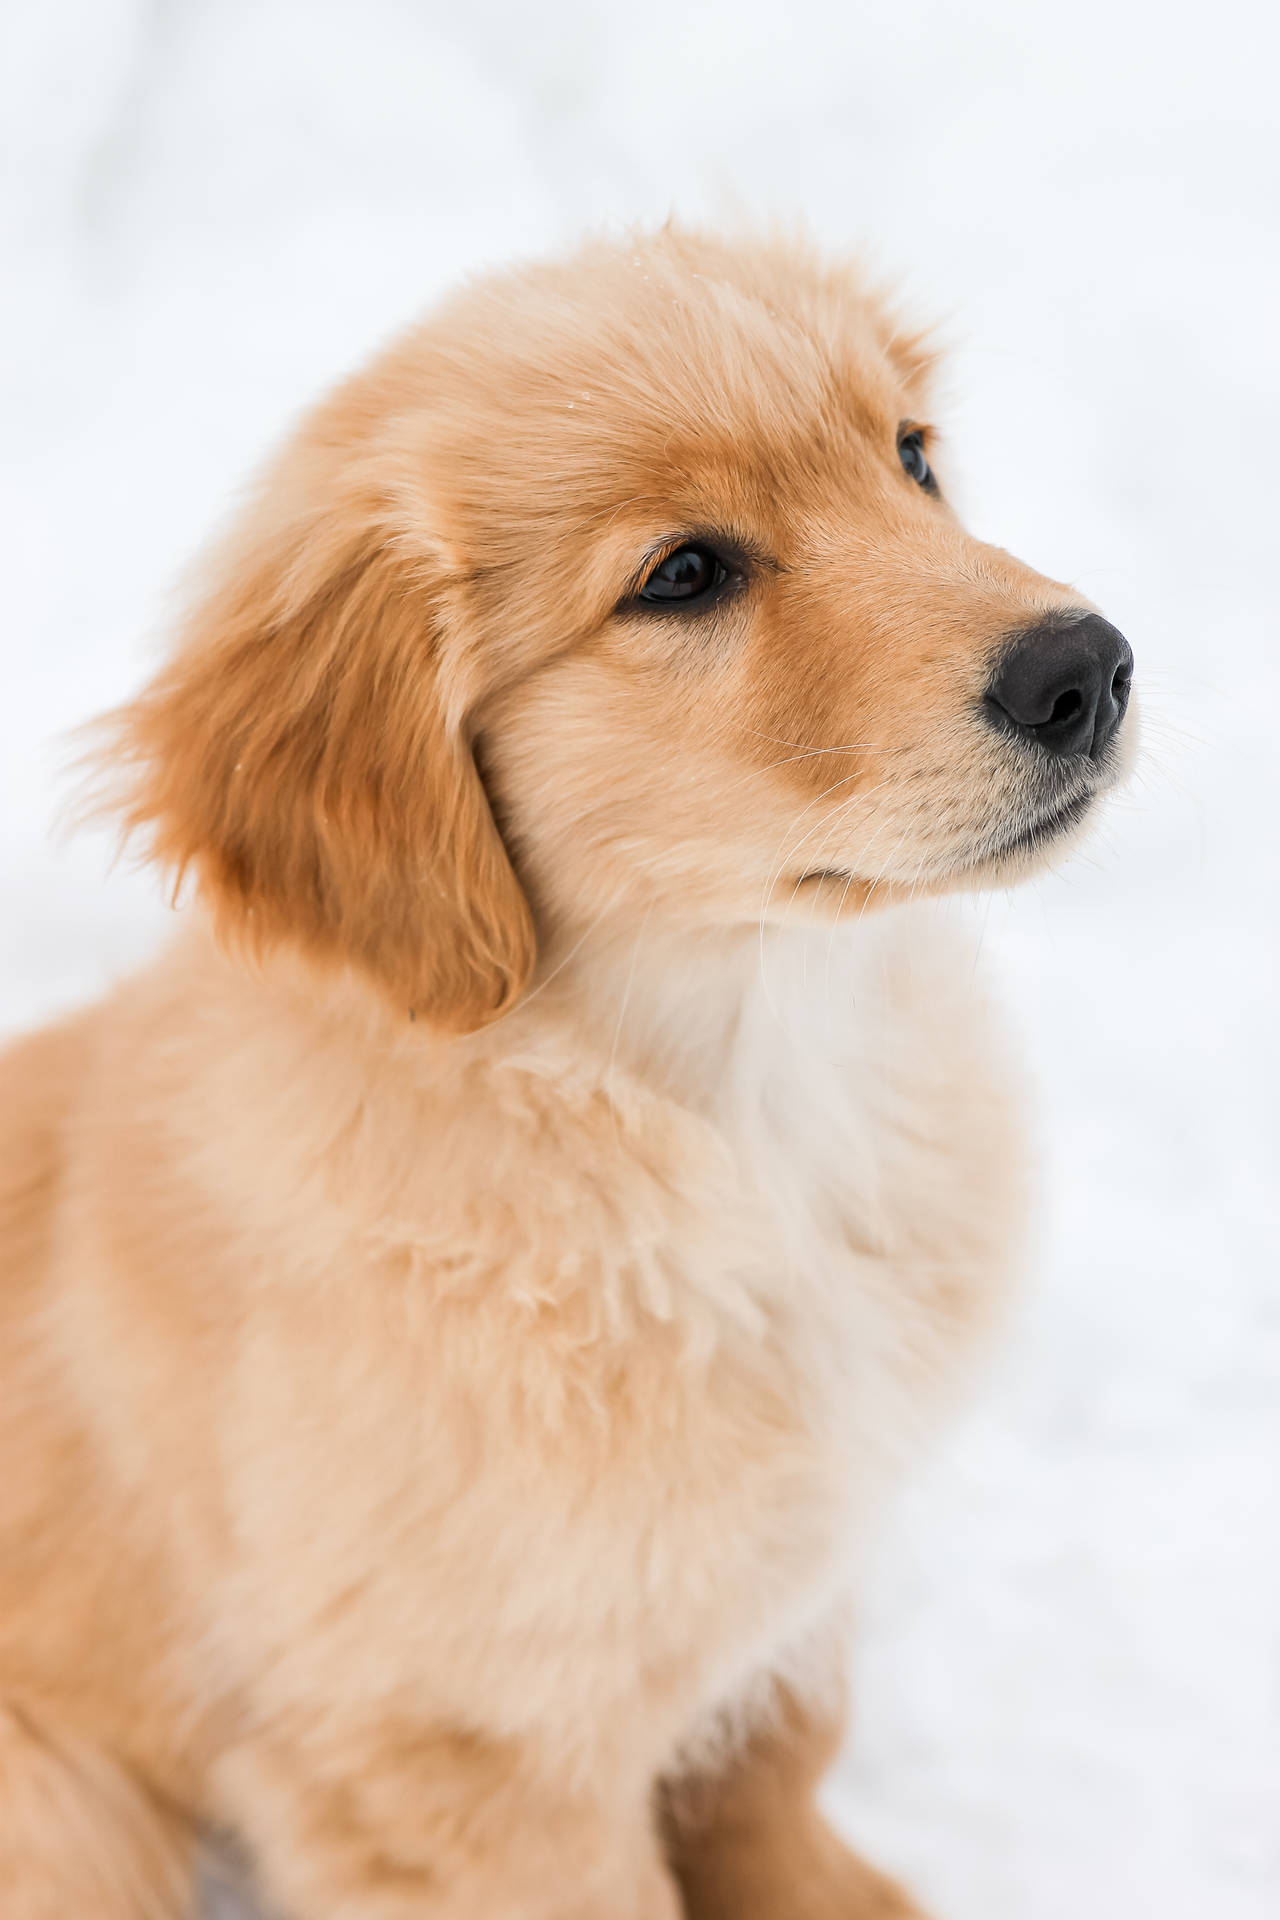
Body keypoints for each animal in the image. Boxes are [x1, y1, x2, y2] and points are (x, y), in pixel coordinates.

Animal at [5, 220, 1136, 1904]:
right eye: (683, 576)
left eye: (912, 458)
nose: (1091, 668)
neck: (734, 1096)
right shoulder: (455, 1750)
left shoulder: (780, 1594)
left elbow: (773, 1767)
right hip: (62, 1812)